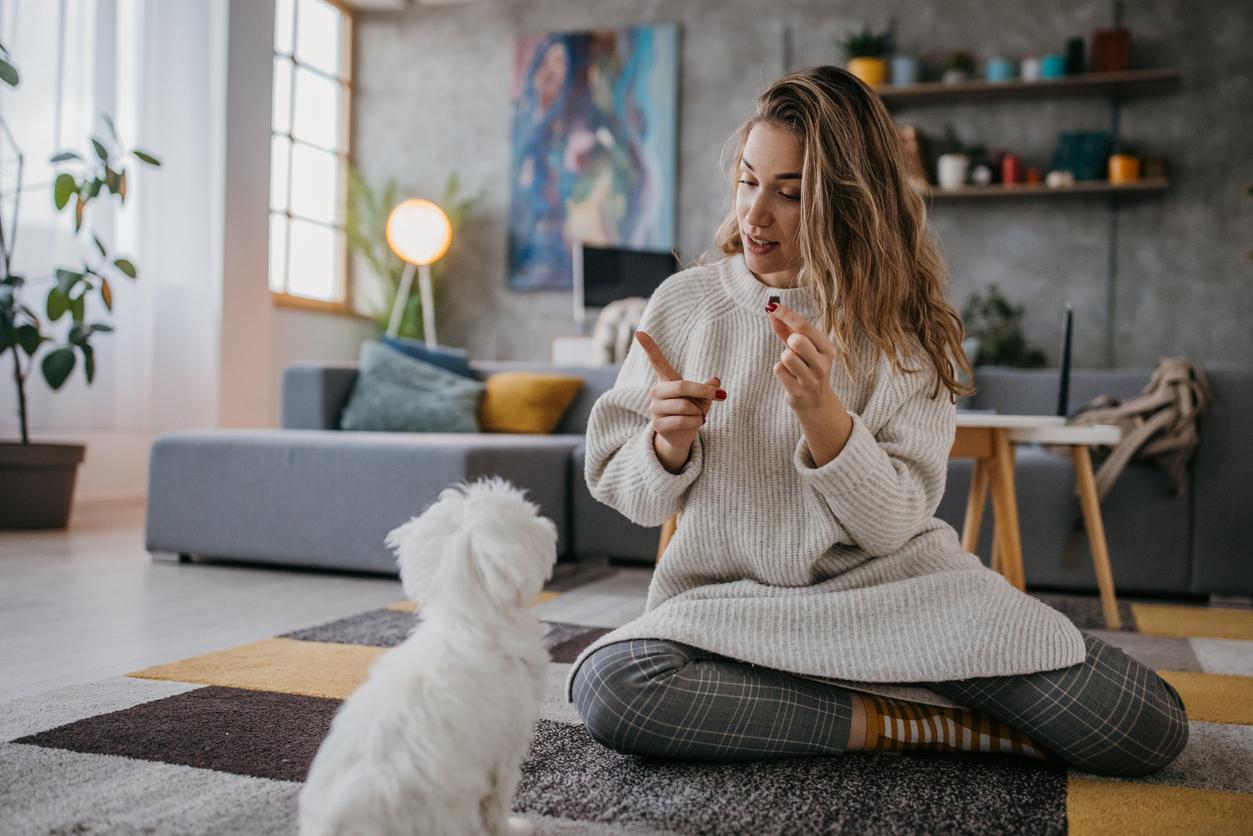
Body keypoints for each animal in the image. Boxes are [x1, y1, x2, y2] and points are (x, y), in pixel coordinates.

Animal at [295, 476, 556, 836]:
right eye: (527, 515)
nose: (548, 525)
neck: (467, 621)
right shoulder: (506, 745)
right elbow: (497, 803)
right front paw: (511, 828)